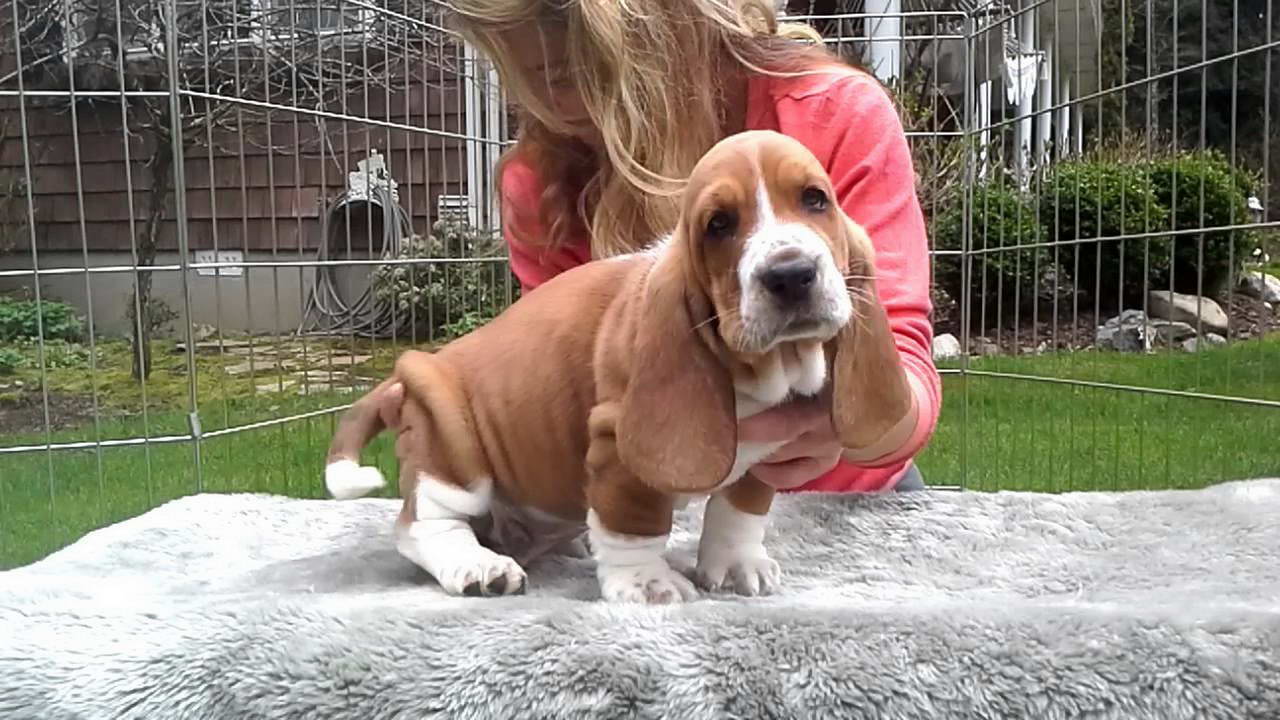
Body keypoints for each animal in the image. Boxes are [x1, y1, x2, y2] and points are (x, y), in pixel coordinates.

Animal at [325, 127, 916, 599]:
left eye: (816, 200)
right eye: (718, 225)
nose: (791, 274)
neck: (762, 367)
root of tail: (409, 376)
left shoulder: (767, 457)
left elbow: (740, 510)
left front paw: (735, 564)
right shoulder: (617, 450)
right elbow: (635, 525)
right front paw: (647, 583)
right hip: (453, 448)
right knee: (423, 525)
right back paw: (480, 567)